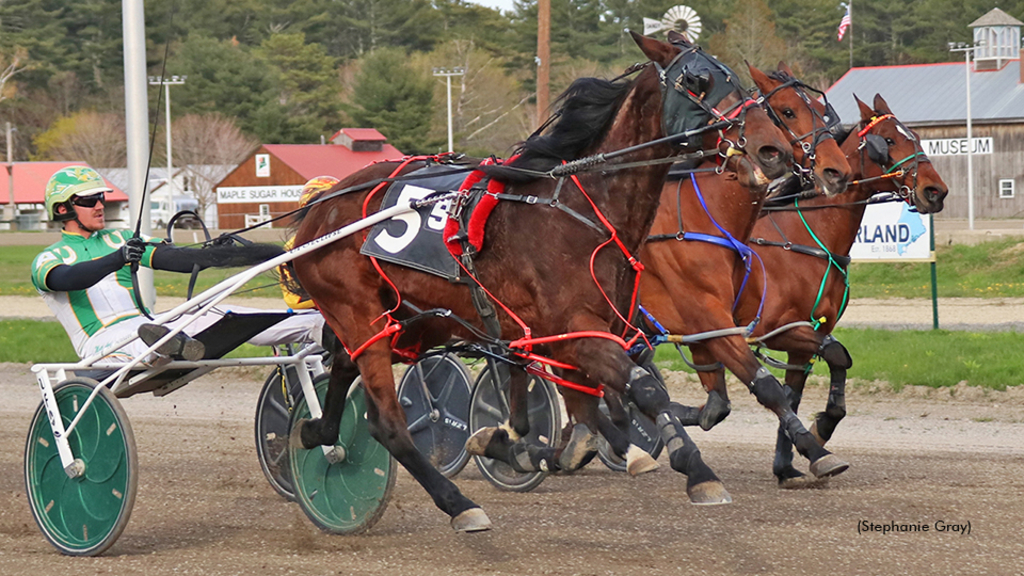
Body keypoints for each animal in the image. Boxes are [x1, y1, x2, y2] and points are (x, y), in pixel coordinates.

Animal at [288, 28, 790, 528]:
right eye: (696, 81)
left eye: (739, 81)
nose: (774, 149)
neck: (581, 211)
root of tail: (318, 213)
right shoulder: (575, 330)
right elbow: (643, 390)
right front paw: (696, 470)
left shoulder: (588, 333)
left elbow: (589, 415)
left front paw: (521, 445)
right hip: (362, 316)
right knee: (387, 422)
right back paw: (458, 503)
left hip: (414, 322)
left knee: (345, 370)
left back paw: (316, 432)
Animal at [634, 62, 851, 481]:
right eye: (786, 111)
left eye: (820, 108)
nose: (838, 171)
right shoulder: (722, 321)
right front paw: (815, 449)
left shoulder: (724, 329)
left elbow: (716, 406)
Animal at [737, 93, 950, 483]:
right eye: (888, 141)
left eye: (915, 136)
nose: (935, 190)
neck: (803, 240)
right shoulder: (776, 329)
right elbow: (837, 356)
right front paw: (819, 433)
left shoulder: (809, 333)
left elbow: (799, 390)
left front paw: (789, 462)